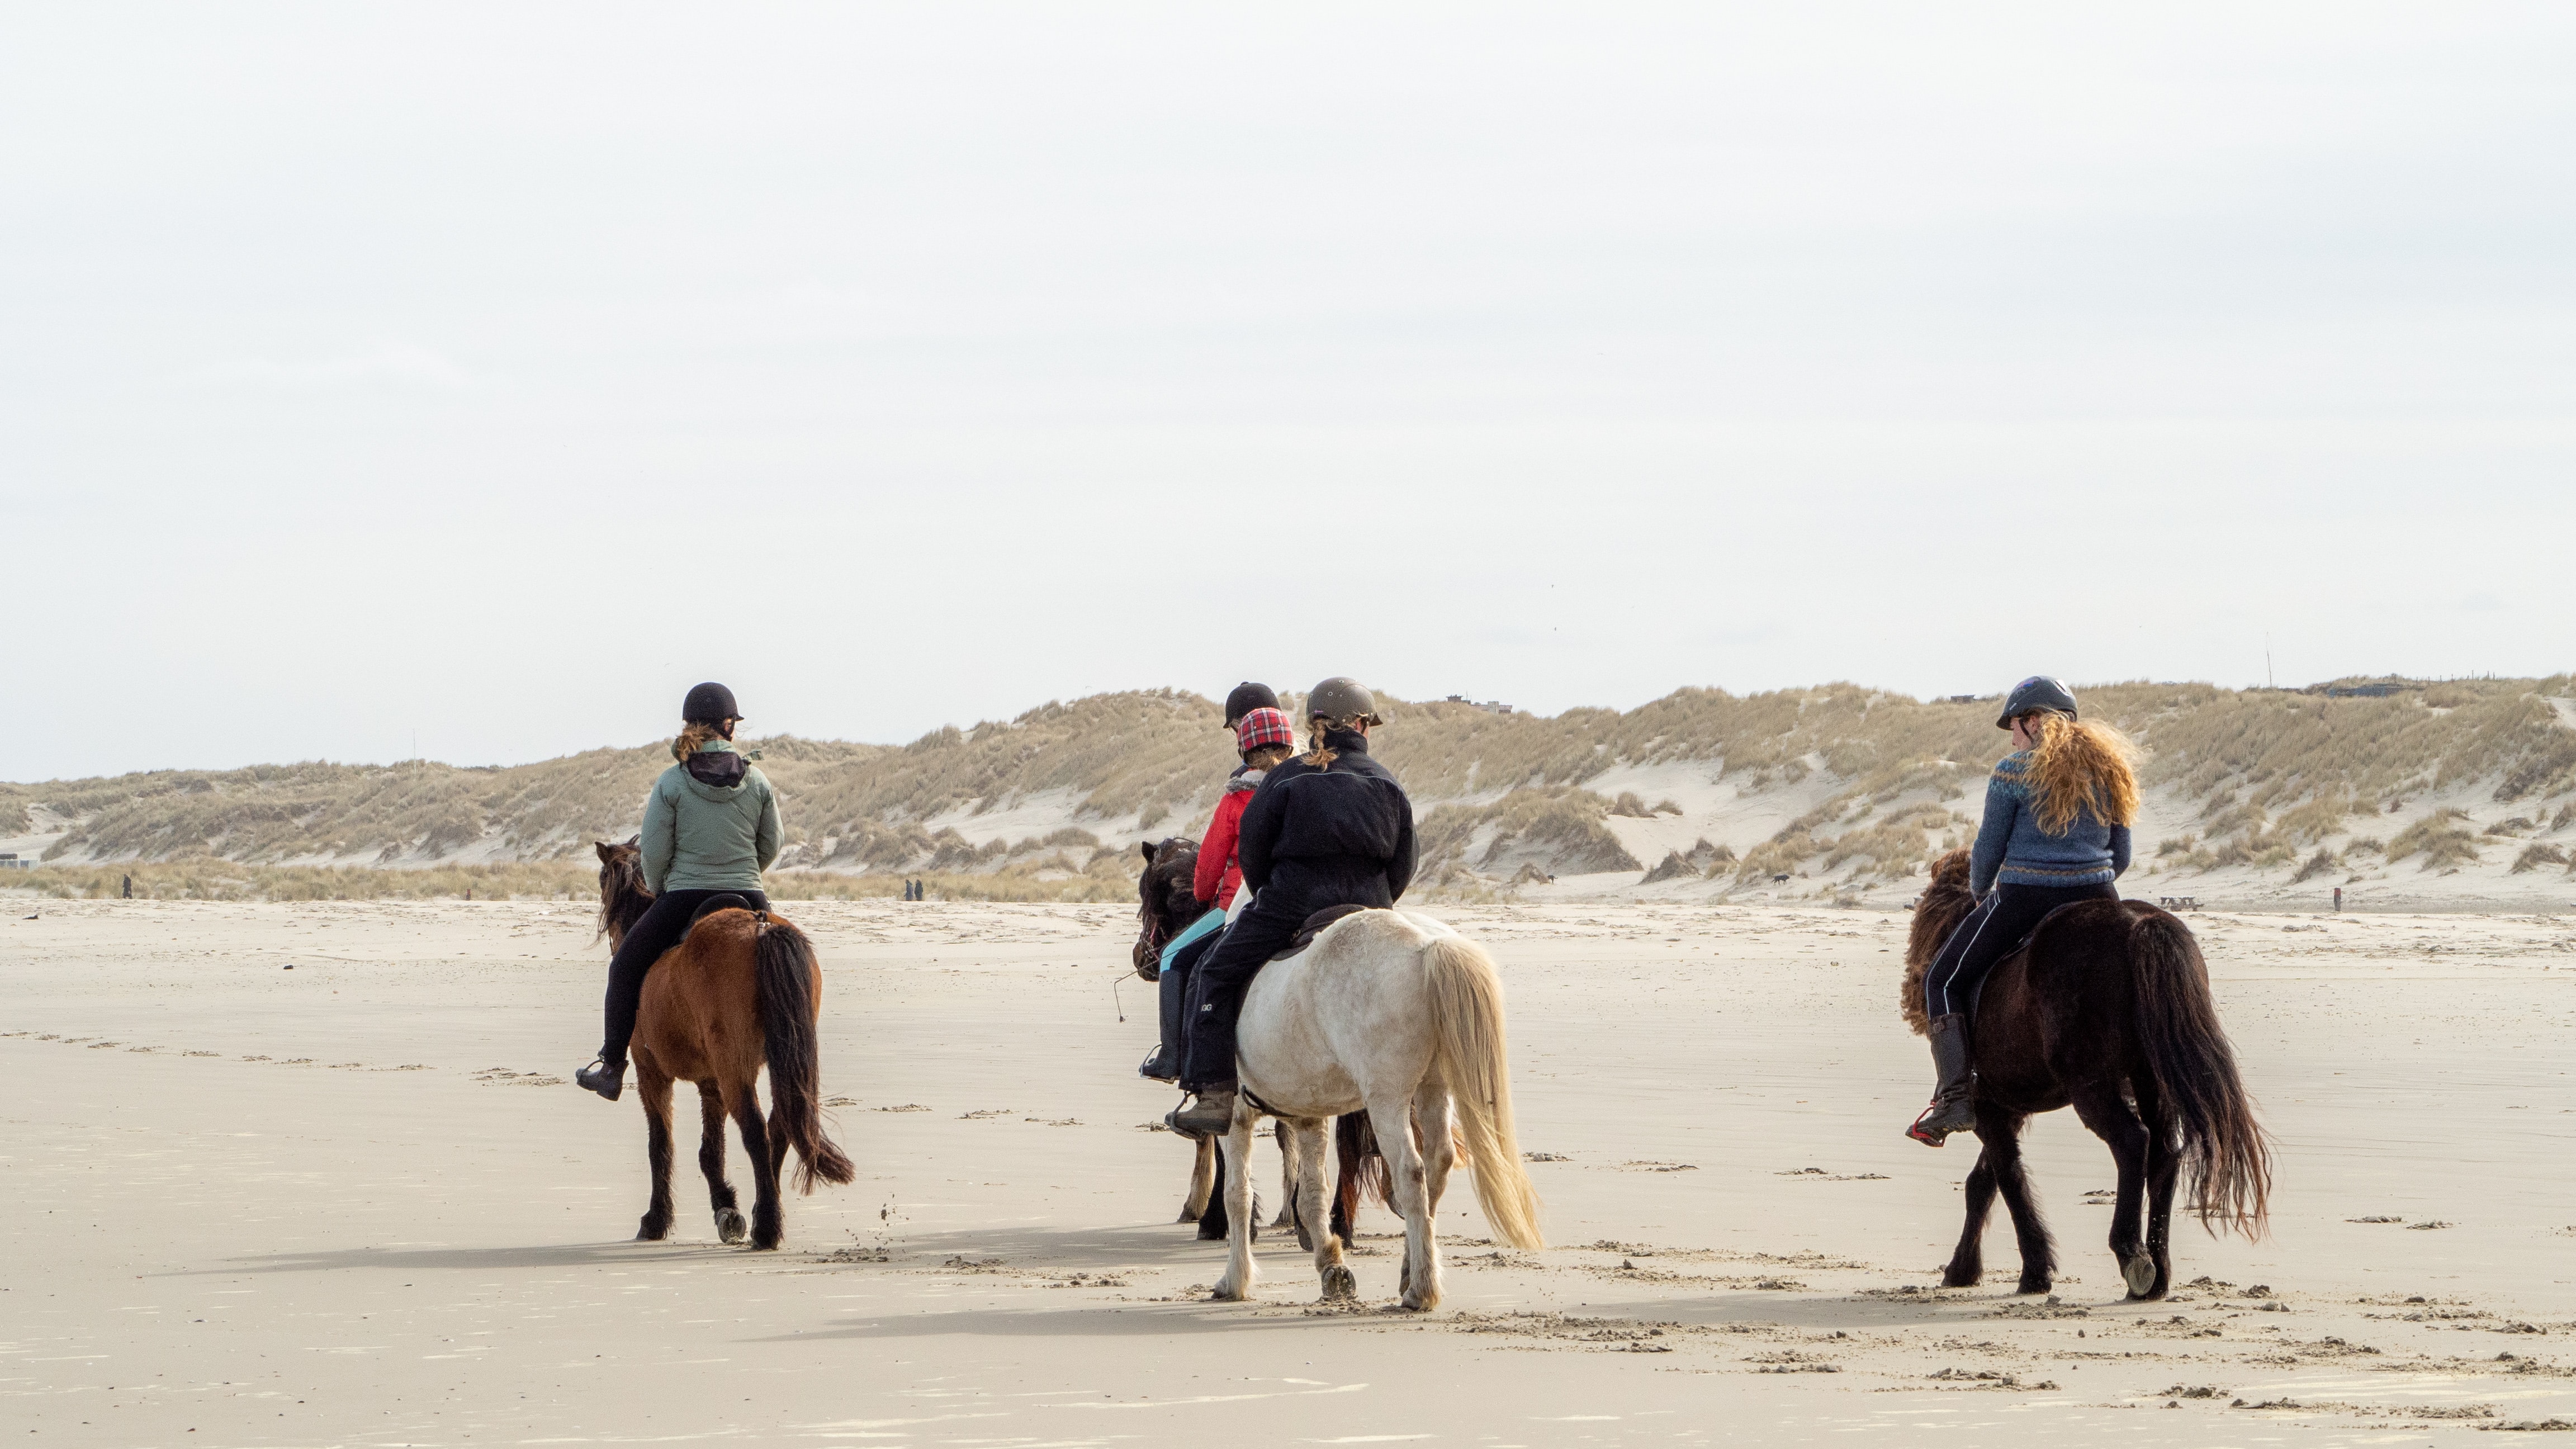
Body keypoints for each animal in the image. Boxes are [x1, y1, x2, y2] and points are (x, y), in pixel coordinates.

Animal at [594, 839, 855, 1249]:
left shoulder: (651, 1072)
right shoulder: (710, 1080)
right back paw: (766, 1211)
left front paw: (656, 1219)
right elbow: (710, 1151)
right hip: (775, 1063)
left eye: (603, 878)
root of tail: (761, 926)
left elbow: (661, 1145)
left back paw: (766, 1227)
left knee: (756, 1132)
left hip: (734, 1070)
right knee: (780, 1126)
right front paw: (727, 1210)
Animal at [1133, 838, 1383, 1246]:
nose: (1142, 958)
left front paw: (1216, 1218)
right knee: (1348, 1147)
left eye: (1146, 894)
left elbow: (1218, 1143)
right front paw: (1289, 1213)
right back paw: (1338, 1224)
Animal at [1214, 908, 1543, 1310]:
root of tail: (1428, 944)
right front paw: (1331, 1265)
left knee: (1410, 1172)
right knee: (1438, 1164)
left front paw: (1235, 1280)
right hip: (1433, 1088)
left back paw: (1421, 1289)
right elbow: (1311, 1194)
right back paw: (1410, 1273)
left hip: (1387, 1098)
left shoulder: (1235, 1118)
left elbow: (1237, 1195)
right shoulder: (1309, 1118)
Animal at [1901, 848, 2271, 1300]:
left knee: (2133, 1142)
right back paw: (2158, 1273)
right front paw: (1964, 1268)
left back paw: (2131, 1254)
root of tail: (2140, 926)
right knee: (2165, 1152)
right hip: (2150, 1081)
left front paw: (2034, 1272)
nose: (1914, 984)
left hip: (2091, 1087)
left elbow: (2007, 1178)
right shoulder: (2007, 1107)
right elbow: (1985, 1183)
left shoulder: (1988, 1106)